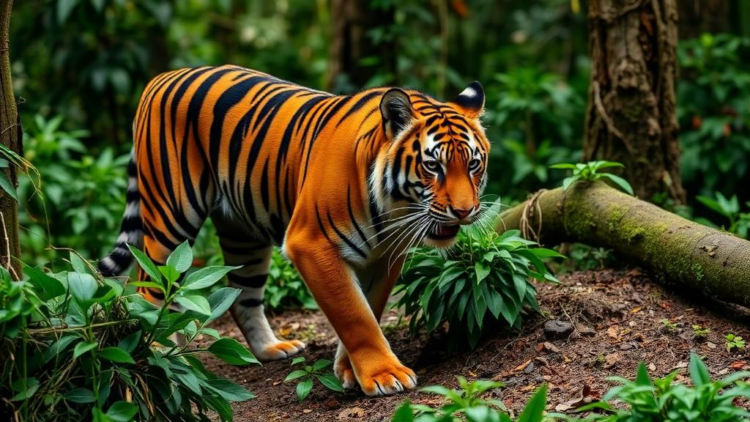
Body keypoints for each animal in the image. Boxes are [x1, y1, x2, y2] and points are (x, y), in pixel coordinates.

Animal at [98, 65, 490, 396]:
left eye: (473, 164)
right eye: (433, 166)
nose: (464, 211)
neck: (391, 212)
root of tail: (160, 78)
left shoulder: (385, 256)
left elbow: (371, 307)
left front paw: (350, 369)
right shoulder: (311, 244)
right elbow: (354, 314)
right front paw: (383, 374)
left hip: (244, 235)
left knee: (243, 296)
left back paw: (271, 349)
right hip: (171, 216)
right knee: (148, 286)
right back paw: (162, 354)